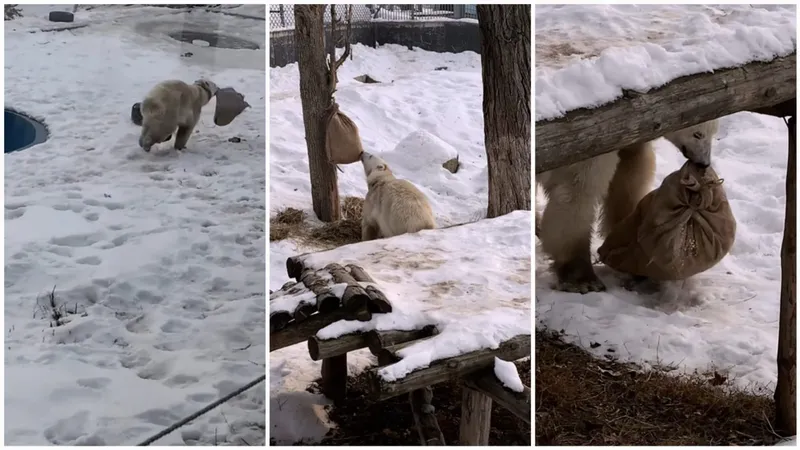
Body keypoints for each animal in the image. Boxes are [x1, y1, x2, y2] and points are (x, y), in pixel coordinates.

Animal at [536, 119, 720, 294]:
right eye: (698, 134)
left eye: (713, 132)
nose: (704, 163)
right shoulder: (590, 143)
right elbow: (578, 191)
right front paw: (583, 280)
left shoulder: (628, 139)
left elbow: (628, 178)